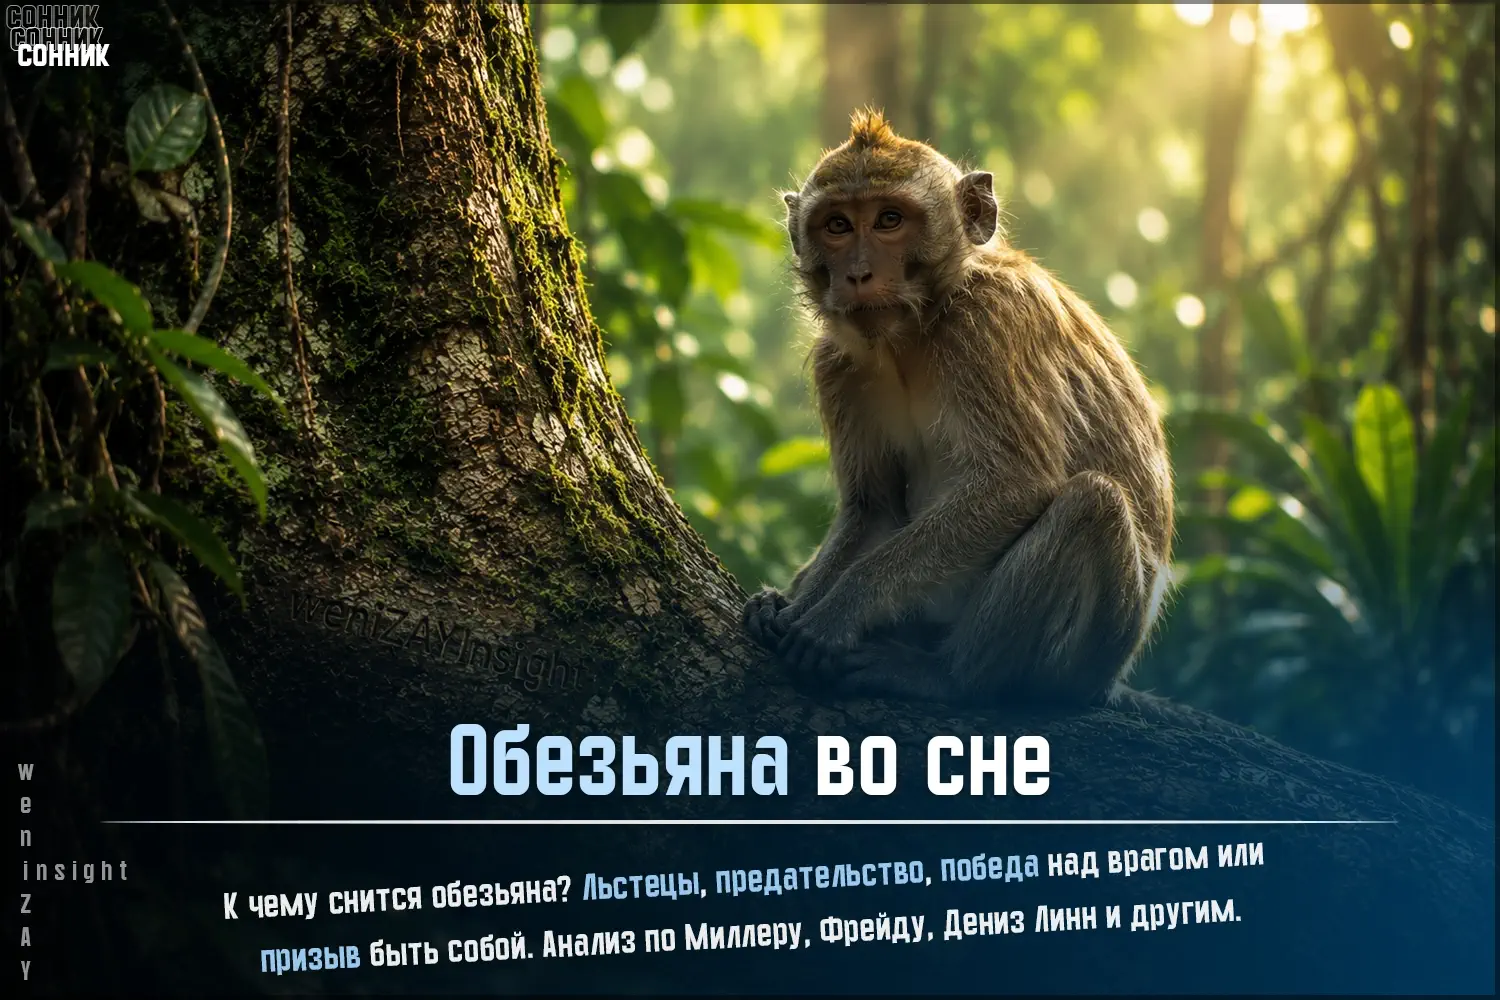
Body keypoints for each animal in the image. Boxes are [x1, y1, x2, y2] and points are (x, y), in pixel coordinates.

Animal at [741, 109, 1175, 707]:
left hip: (1093, 654)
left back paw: (949, 676)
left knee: (1094, 502)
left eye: (890, 220)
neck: (914, 334)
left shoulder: (990, 322)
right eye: (837, 226)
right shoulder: (839, 364)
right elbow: (872, 506)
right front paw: (791, 605)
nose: (857, 273)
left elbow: (1016, 482)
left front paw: (838, 611)